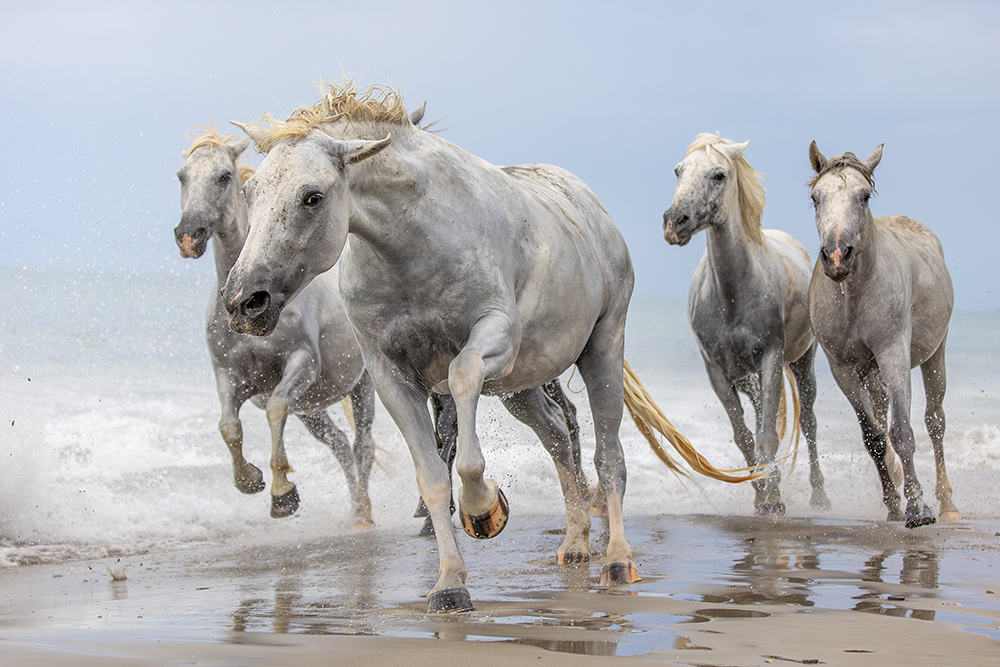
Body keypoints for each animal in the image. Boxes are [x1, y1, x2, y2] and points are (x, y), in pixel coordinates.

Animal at [172, 125, 376, 528]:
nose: (189, 235)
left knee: (363, 446)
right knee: (341, 446)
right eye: (182, 176)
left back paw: (367, 513)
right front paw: (249, 480)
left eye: (224, 176)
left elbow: (275, 409)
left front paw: (283, 494)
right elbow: (228, 426)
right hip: (313, 410)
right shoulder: (229, 376)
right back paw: (356, 510)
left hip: (362, 388)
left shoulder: (301, 364)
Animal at [219, 85, 752, 616]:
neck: (414, 243)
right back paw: (575, 543)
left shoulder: (493, 338)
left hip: (602, 348)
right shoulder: (391, 376)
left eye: (312, 196)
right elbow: (433, 477)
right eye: (251, 193)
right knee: (558, 436)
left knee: (608, 456)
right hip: (522, 385)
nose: (245, 300)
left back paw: (618, 560)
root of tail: (593, 208)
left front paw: (485, 508)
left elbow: (463, 383)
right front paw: (449, 584)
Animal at [664, 132, 828, 516]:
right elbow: (744, 436)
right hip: (748, 378)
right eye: (679, 170)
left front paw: (774, 497)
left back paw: (819, 496)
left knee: (809, 423)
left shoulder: (770, 358)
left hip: (802, 363)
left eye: (719, 175)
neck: (732, 294)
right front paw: (760, 492)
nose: (674, 222)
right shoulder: (718, 372)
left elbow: (767, 434)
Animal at [804, 141, 960, 528]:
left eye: (864, 196)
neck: (855, 294)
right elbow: (873, 435)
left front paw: (918, 508)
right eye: (816, 198)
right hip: (869, 372)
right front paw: (893, 503)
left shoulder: (893, 355)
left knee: (935, 422)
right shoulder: (842, 368)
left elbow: (902, 431)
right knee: (881, 413)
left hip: (934, 354)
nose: (836, 256)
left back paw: (947, 503)